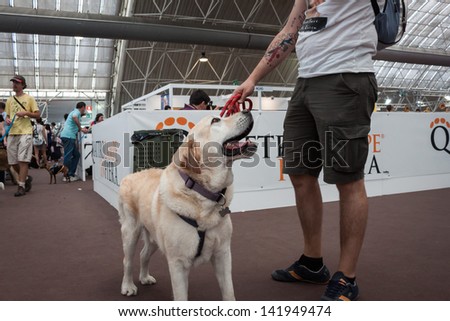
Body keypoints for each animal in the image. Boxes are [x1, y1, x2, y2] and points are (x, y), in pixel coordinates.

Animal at [118, 110, 255, 300]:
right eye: (215, 120)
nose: (247, 110)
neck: (202, 194)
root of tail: (131, 175)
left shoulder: (223, 254)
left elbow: (229, 292)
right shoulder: (178, 263)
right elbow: (181, 296)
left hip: (154, 236)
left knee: (143, 254)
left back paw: (144, 277)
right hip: (130, 231)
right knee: (127, 260)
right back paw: (128, 286)